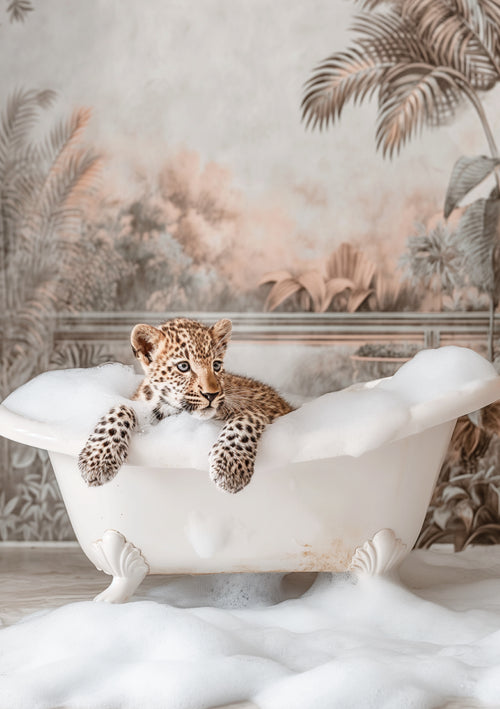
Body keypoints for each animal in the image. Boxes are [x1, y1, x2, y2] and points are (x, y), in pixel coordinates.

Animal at [78, 317, 294, 493]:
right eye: (183, 366)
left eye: (216, 365)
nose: (211, 394)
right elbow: (122, 408)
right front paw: (96, 460)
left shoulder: (265, 407)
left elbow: (243, 420)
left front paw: (229, 467)